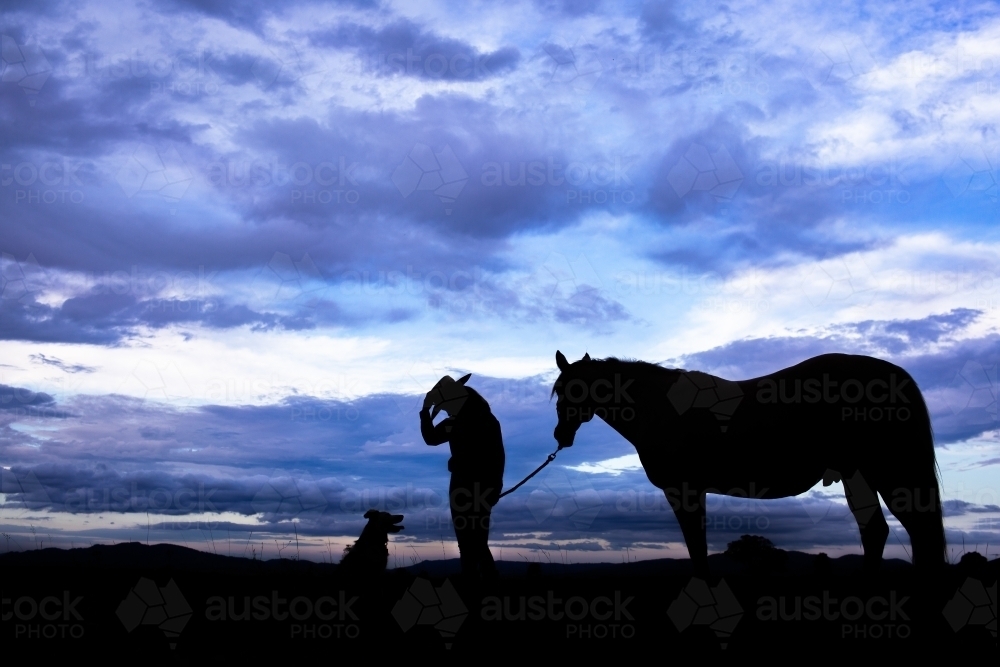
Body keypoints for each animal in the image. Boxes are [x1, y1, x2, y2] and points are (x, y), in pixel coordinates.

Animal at [552, 352, 940, 576]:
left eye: (572, 390)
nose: (560, 436)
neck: (661, 409)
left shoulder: (684, 490)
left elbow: (697, 548)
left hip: (890, 471)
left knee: (919, 529)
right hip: (856, 475)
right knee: (876, 531)